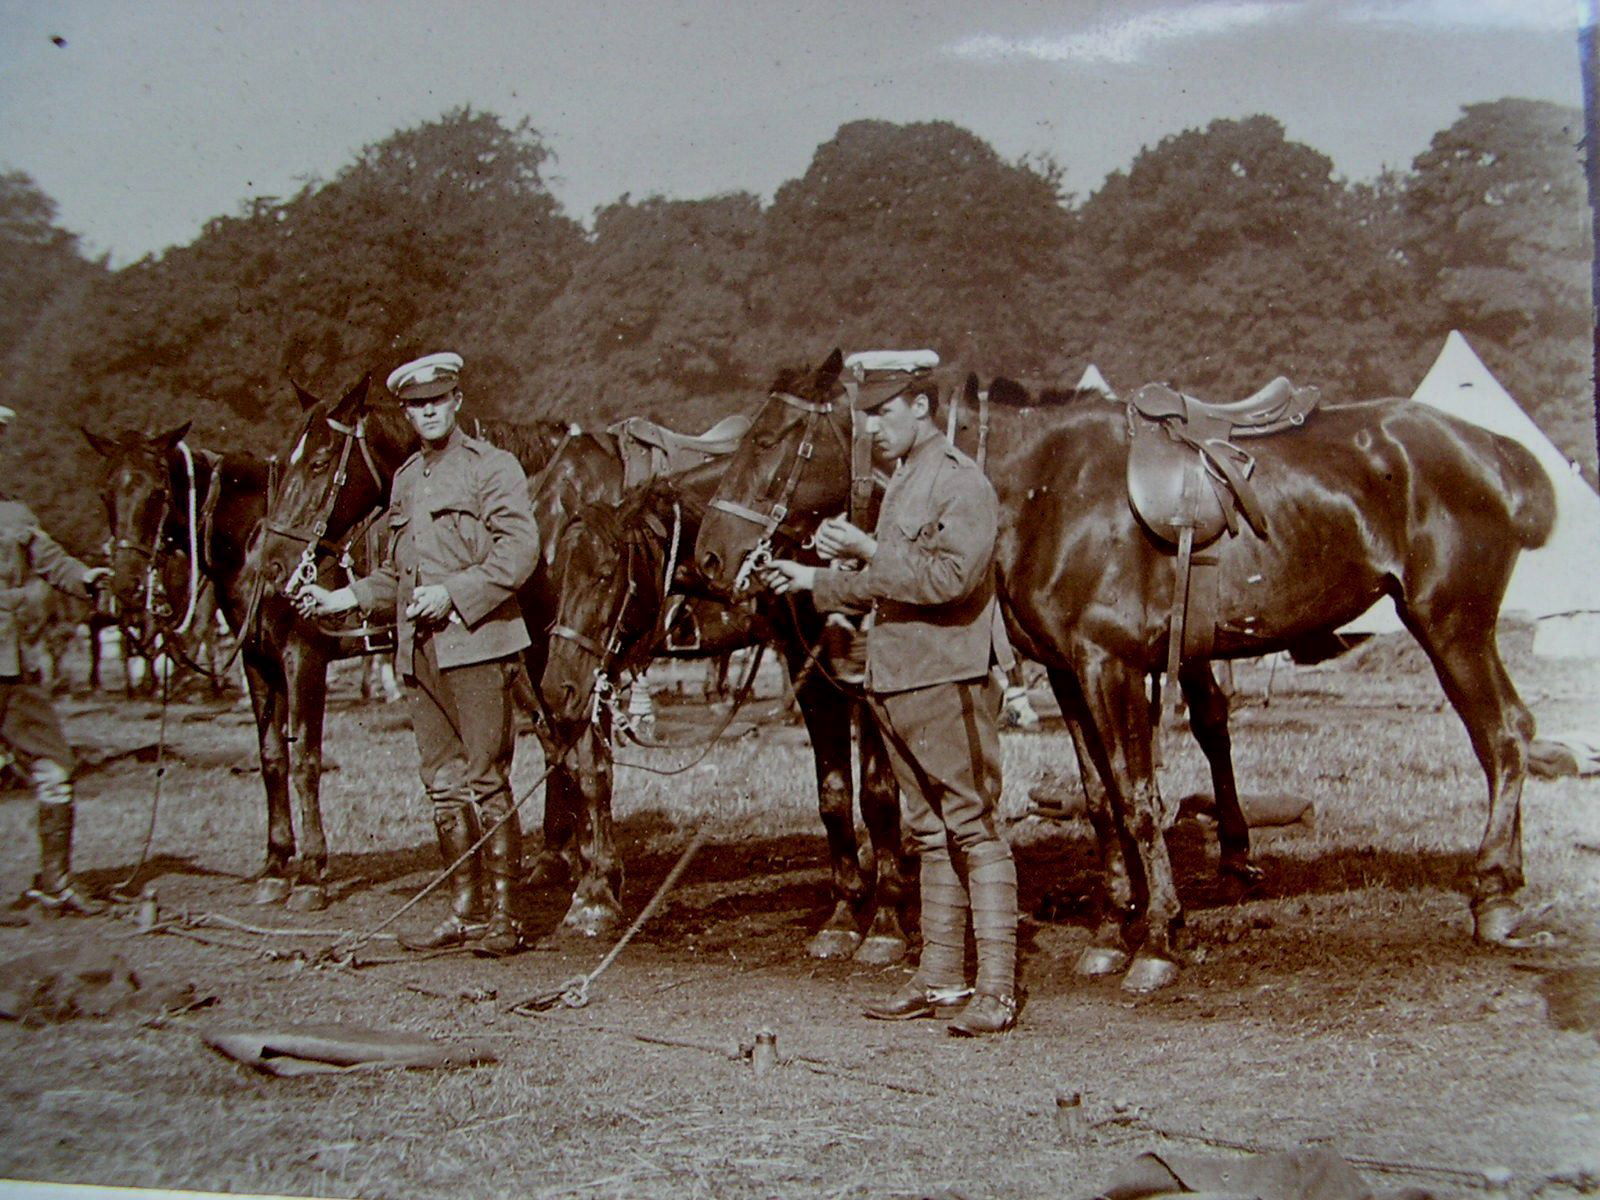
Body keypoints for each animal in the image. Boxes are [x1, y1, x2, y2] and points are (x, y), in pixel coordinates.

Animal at [86, 422, 388, 908]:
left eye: (157, 492)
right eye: (105, 493)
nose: (127, 586)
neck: (256, 541)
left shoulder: (304, 659)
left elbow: (305, 761)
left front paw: (312, 873)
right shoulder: (258, 660)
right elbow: (272, 759)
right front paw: (276, 864)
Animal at [540, 460, 908, 966]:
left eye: (604, 574)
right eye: (557, 574)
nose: (557, 685)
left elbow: (878, 797)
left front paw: (887, 924)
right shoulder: (809, 672)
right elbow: (833, 796)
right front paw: (843, 917)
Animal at [694, 352, 1555, 992]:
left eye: (772, 438)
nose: (709, 558)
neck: (1043, 485)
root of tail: (1492, 451)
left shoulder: (1110, 666)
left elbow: (1140, 802)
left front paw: (1159, 942)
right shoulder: (1070, 675)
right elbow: (1101, 802)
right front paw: (1113, 931)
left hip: (1452, 624)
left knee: (1505, 736)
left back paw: (1494, 896)